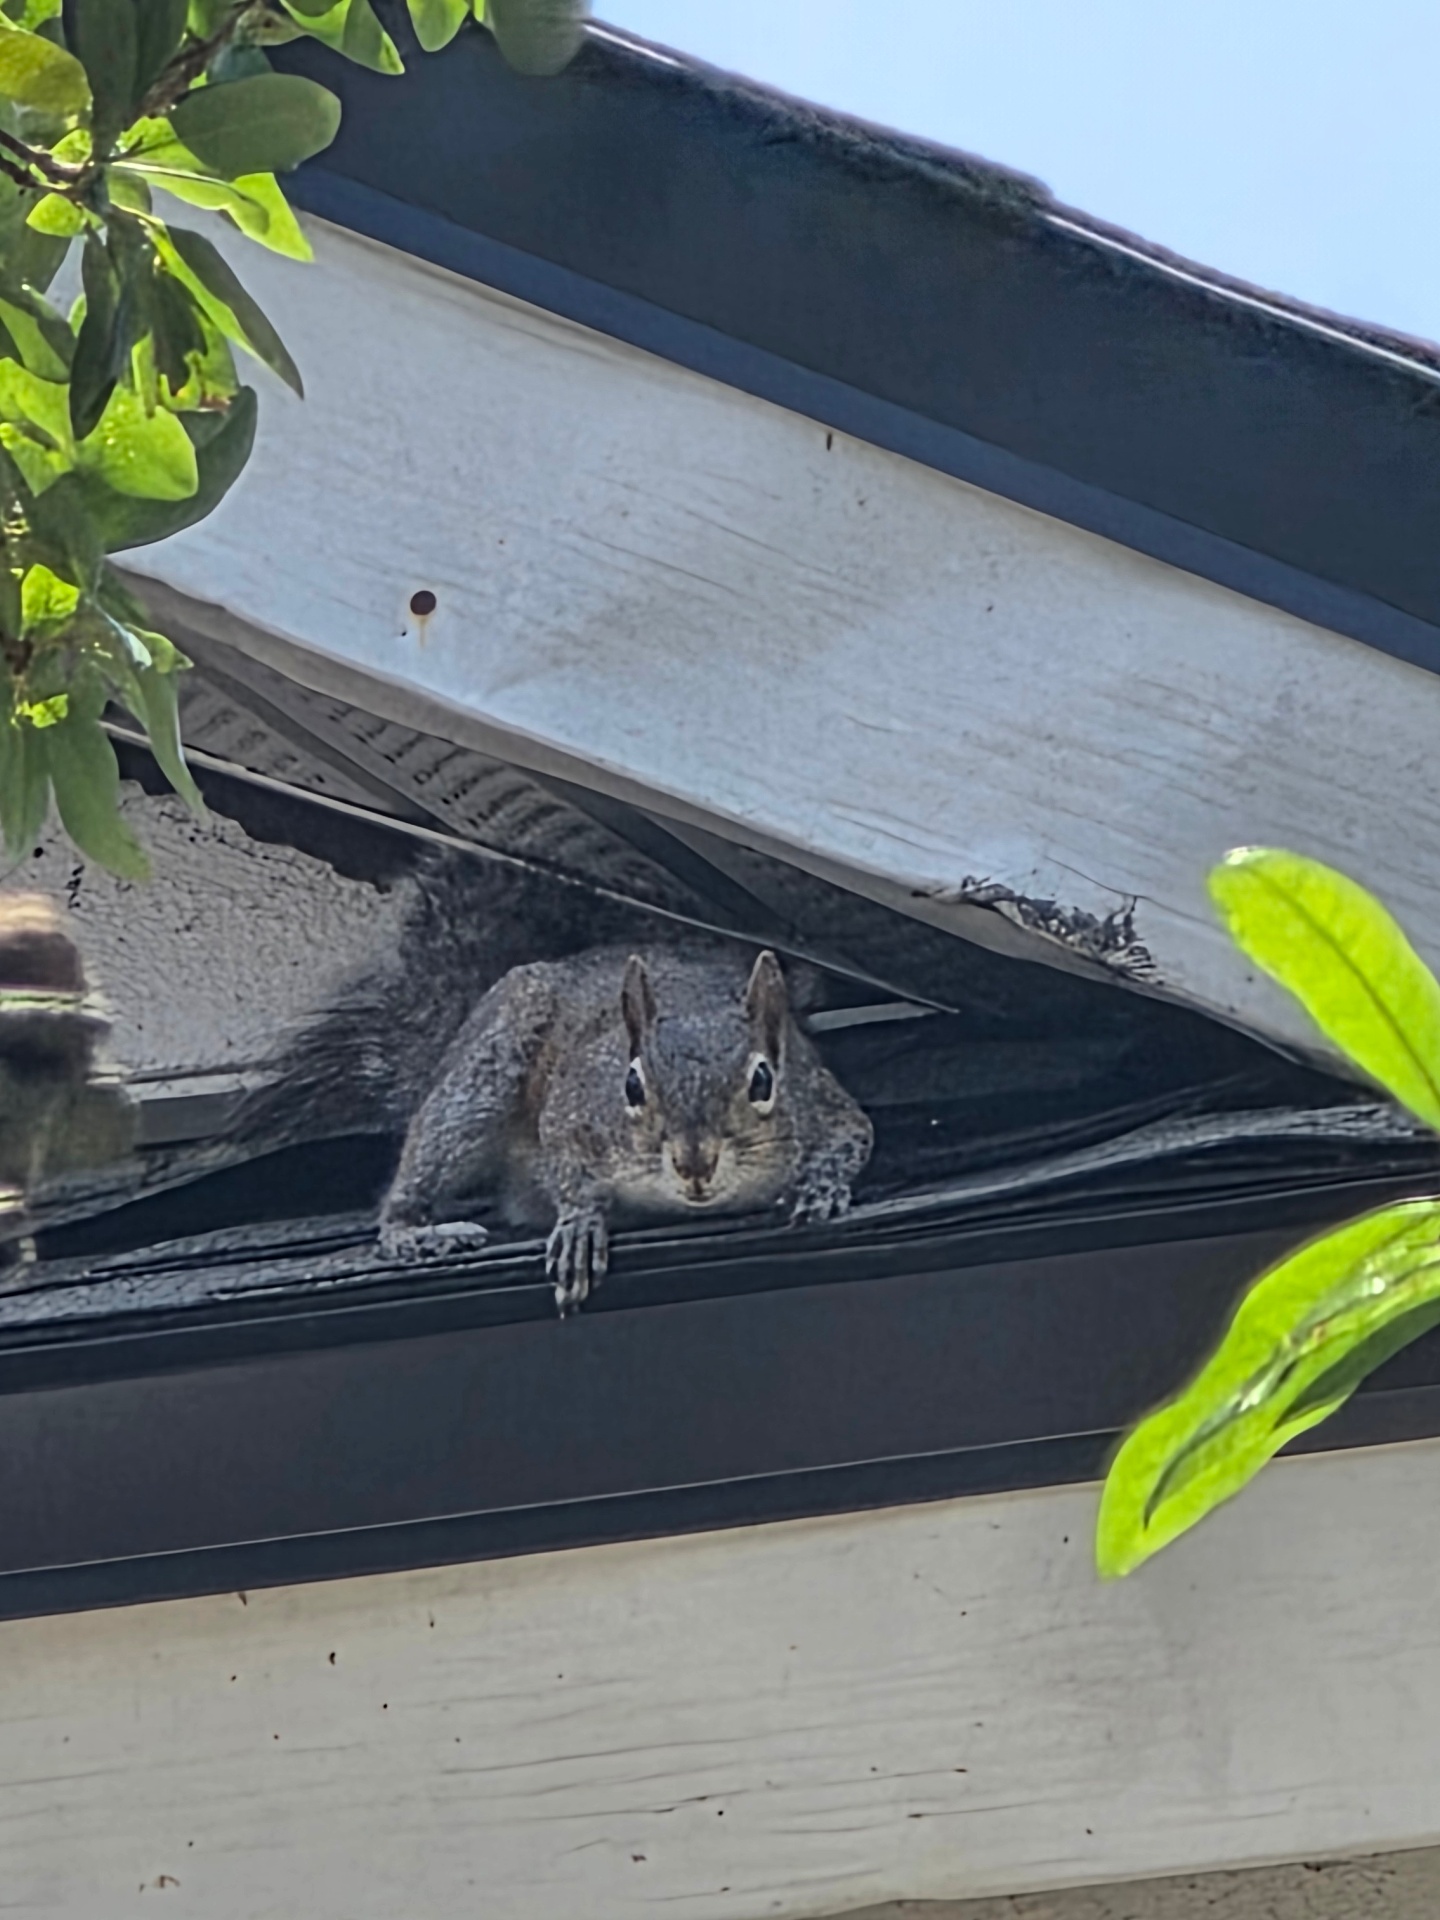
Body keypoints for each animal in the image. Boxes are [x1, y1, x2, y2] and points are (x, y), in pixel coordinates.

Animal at [238, 854, 874, 1312]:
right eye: (632, 1087)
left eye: (763, 1080)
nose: (695, 1165)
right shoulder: (574, 1114)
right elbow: (566, 1166)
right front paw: (581, 1224)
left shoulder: (822, 1100)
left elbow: (857, 1134)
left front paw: (820, 1185)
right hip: (475, 1088)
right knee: (410, 1183)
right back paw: (416, 1233)